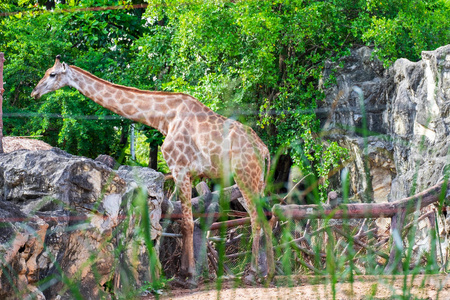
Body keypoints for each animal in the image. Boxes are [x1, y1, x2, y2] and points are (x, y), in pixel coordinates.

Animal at [30, 56, 274, 284]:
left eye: (52, 74)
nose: (34, 92)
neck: (164, 118)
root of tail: (264, 150)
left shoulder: (180, 169)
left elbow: (186, 223)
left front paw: (188, 276)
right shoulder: (187, 174)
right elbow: (182, 222)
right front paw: (186, 272)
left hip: (244, 176)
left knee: (255, 217)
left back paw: (253, 273)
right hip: (259, 180)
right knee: (269, 216)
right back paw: (268, 273)